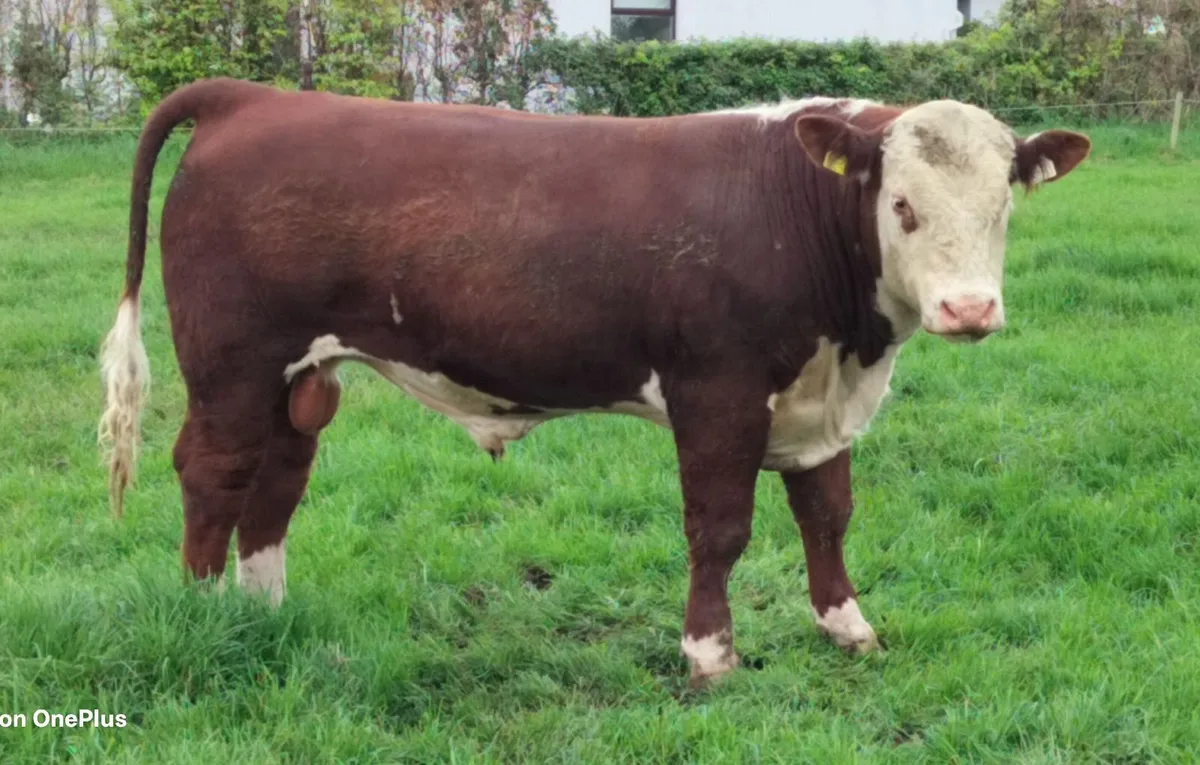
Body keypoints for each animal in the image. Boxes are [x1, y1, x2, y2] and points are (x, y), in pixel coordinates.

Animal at [97, 78, 1090, 687]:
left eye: (1003, 205)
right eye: (902, 205)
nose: (969, 308)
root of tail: (251, 95)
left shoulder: (818, 402)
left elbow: (827, 514)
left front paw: (846, 627)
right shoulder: (715, 391)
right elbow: (721, 529)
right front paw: (709, 654)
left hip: (300, 376)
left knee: (276, 480)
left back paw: (266, 613)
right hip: (232, 363)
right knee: (214, 472)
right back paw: (204, 613)